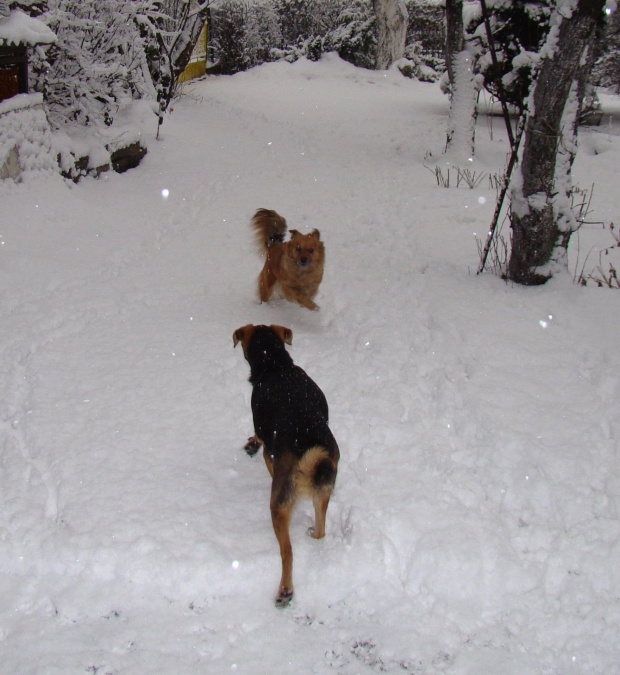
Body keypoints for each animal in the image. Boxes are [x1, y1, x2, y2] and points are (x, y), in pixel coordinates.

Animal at [232, 324, 340, 608]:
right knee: (322, 526)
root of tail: (309, 444)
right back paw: (314, 534)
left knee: (287, 553)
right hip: (324, 486)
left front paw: (252, 443)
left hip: (278, 507)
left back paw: (285, 590)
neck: (276, 365)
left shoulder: (268, 450)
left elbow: (261, 444)